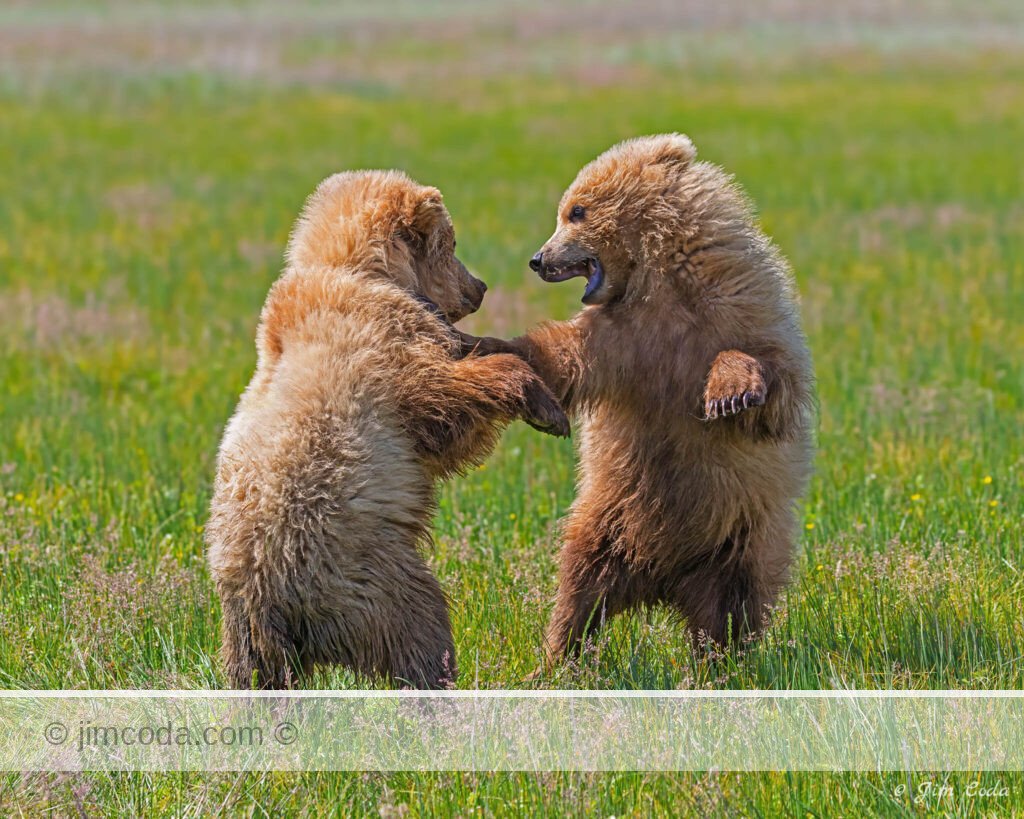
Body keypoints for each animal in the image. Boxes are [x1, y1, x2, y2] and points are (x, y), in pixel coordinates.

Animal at [206, 170, 569, 689]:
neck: (362, 269)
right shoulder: (379, 349)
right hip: (364, 576)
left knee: (258, 678)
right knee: (422, 625)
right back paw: (438, 680)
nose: (479, 286)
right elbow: (441, 404)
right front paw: (545, 406)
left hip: (247, 638)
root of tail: (267, 599)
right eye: (452, 242)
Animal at [474, 134, 814, 665]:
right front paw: (491, 349)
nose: (538, 259)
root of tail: (662, 583)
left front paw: (730, 393)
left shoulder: (738, 307)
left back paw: (724, 662)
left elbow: (775, 384)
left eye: (576, 211)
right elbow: (562, 358)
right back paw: (558, 657)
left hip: (739, 537)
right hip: (607, 518)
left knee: (734, 605)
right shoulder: (623, 340)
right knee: (579, 585)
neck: (661, 284)